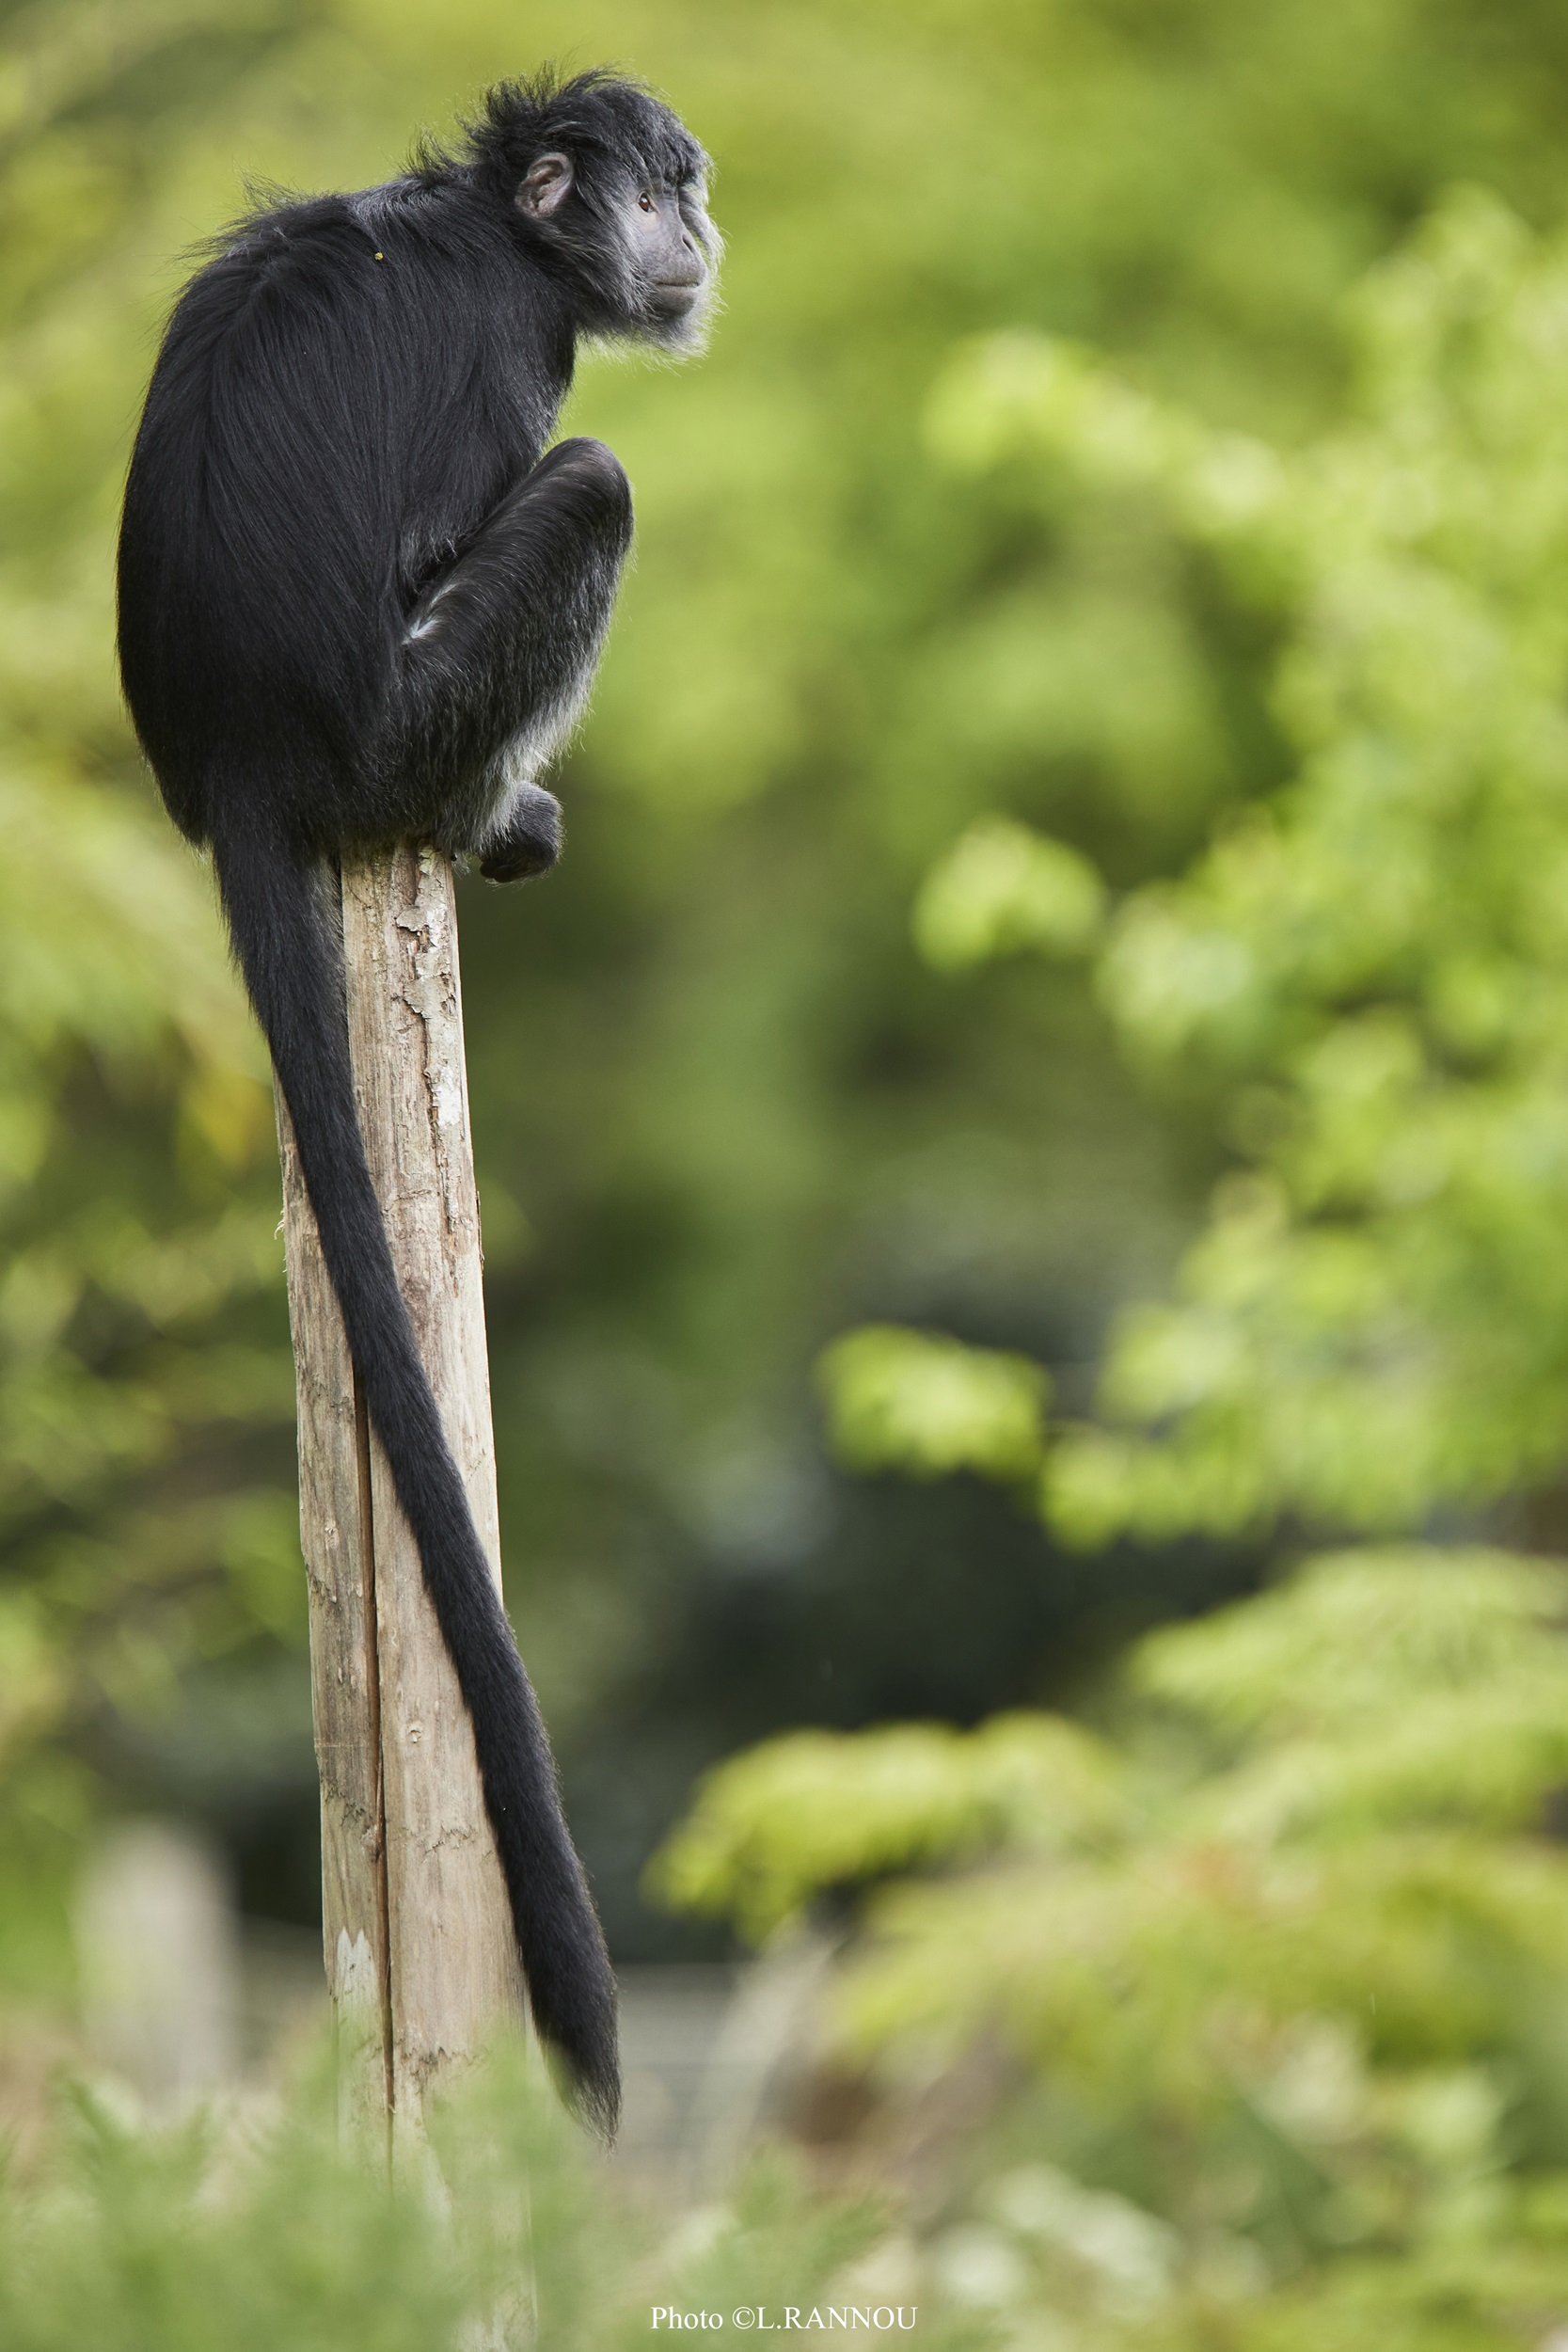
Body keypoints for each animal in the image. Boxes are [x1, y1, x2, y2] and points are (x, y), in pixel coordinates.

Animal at [118, 73, 723, 2145]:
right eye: (663, 196)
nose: (701, 237)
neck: (486, 228)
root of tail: (237, 751)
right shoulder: (508, 351)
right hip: (393, 730)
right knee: (599, 485)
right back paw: (477, 818)